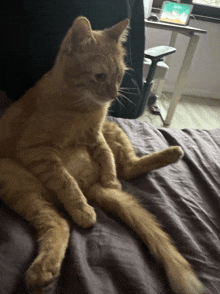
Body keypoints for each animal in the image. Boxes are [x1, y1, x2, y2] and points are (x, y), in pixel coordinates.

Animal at [0, 16, 206, 294]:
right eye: (100, 76)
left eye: (119, 76)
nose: (113, 95)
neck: (82, 107)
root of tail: (90, 184)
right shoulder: (37, 150)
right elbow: (66, 181)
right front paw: (81, 207)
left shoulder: (97, 132)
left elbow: (106, 154)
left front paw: (110, 178)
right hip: (17, 182)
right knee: (60, 221)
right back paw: (44, 268)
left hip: (113, 128)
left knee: (127, 168)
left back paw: (168, 154)